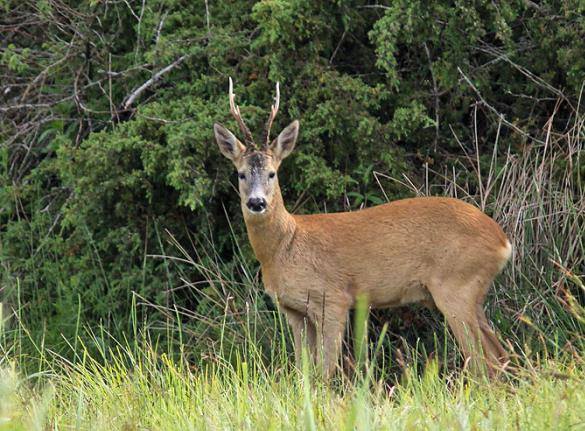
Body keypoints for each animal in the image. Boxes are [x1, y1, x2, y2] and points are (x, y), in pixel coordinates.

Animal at [214, 79, 512, 380]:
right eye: (241, 173)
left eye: (272, 173)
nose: (257, 202)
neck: (285, 246)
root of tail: (503, 241)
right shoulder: (294, 311)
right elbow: (303, 371)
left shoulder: (333, 298)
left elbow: (325, 371)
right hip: (472, 293)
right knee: (499, 353)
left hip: (456, 285)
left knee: (482, 360)